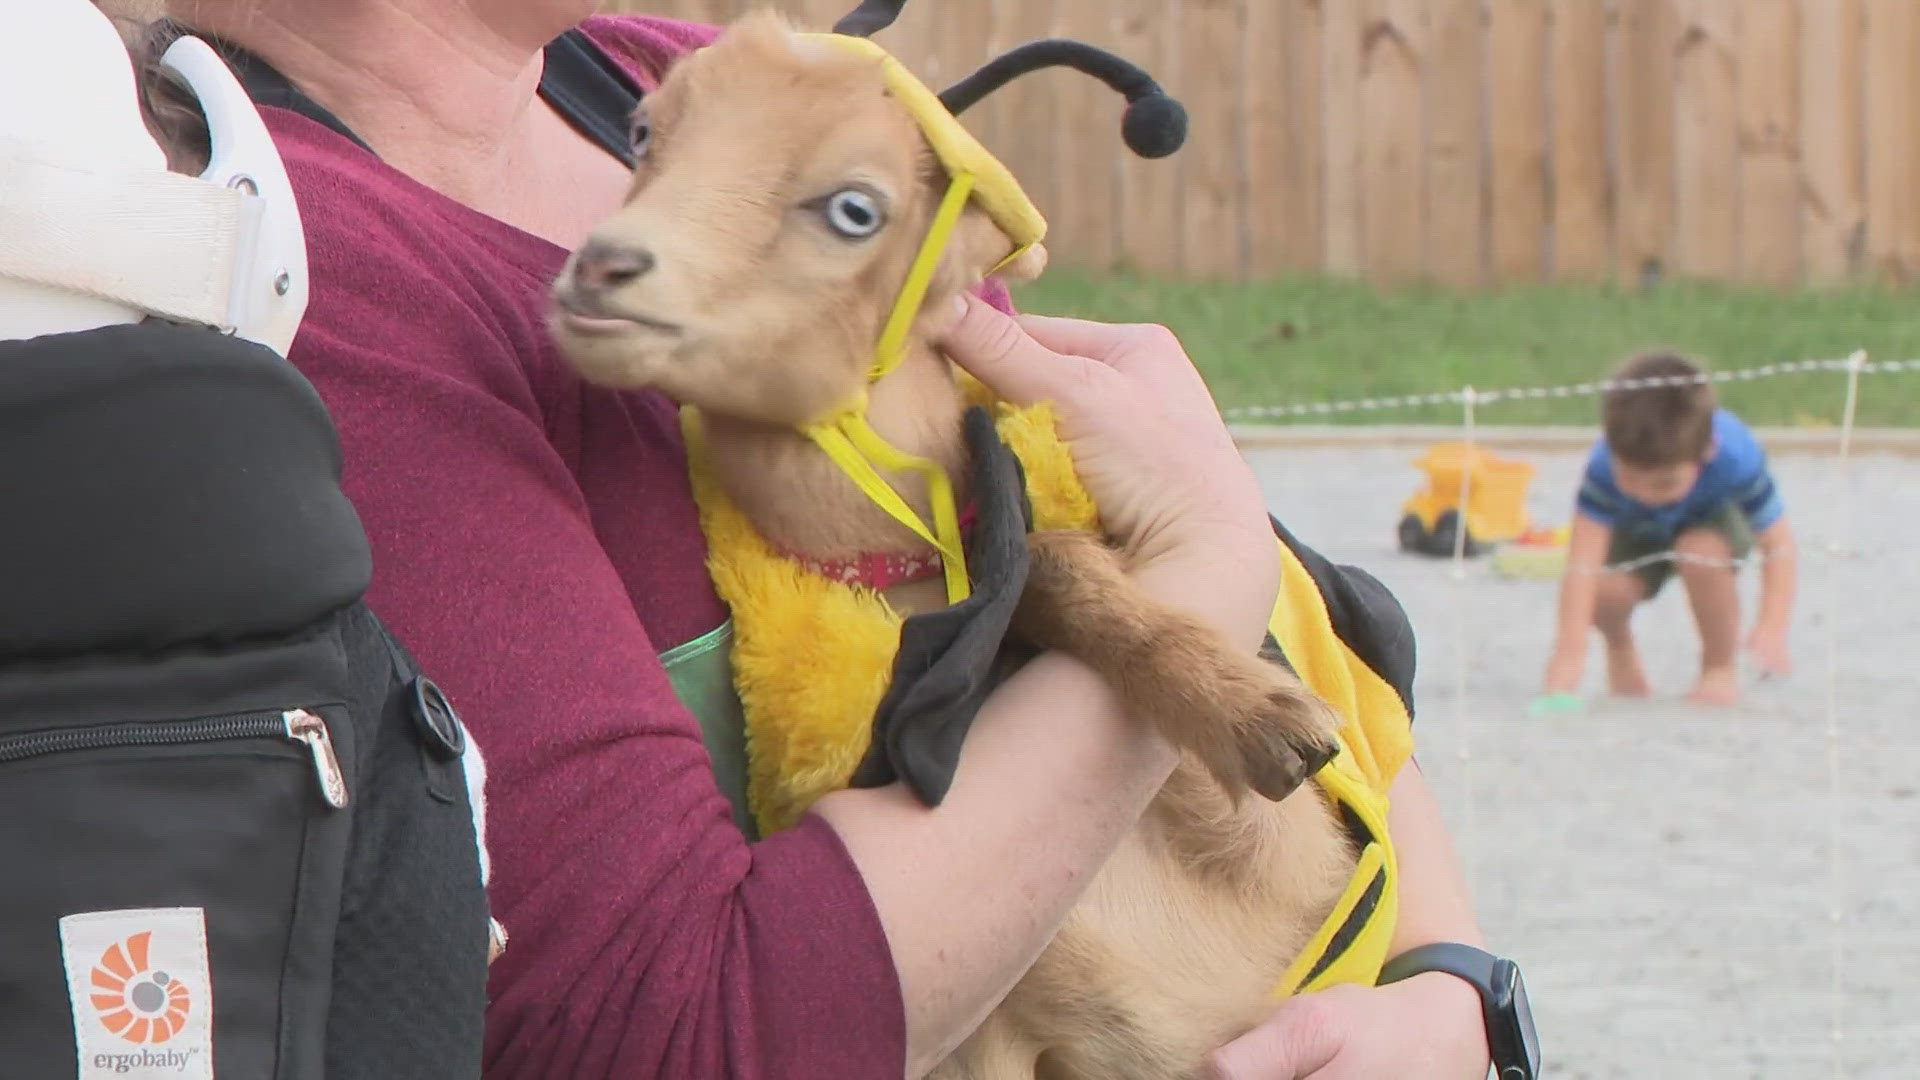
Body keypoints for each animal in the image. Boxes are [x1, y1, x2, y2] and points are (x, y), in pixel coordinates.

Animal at [549, 10, 1359, 1076]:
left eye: (856, 208)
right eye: (646, 133)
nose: (602, 269)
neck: (906, 575)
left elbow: (1055, 559)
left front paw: (1262, 718)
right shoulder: (989, 1035)